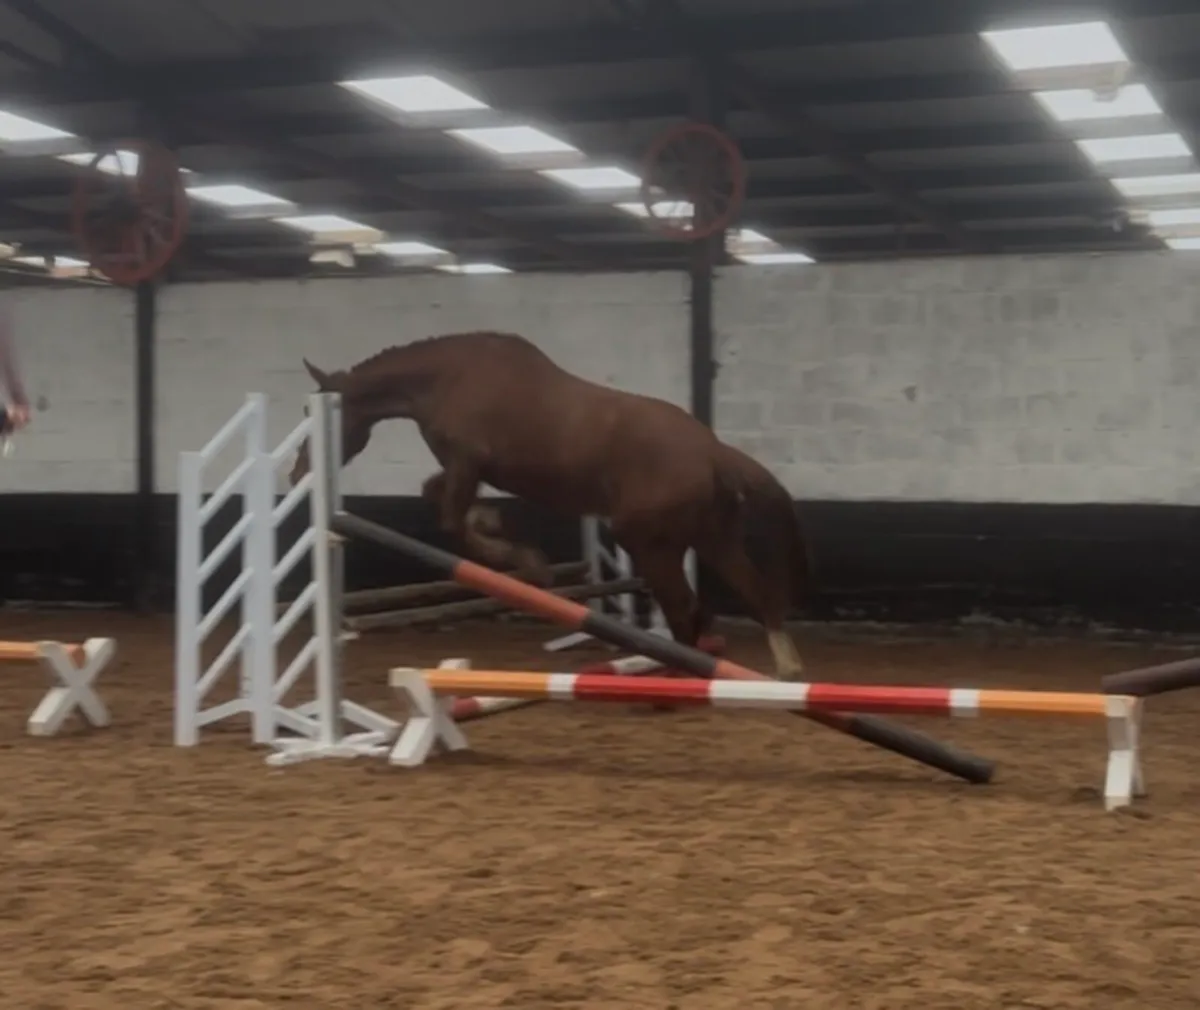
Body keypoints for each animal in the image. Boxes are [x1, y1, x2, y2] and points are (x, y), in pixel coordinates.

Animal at [289, 331, 810, 680]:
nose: (296, 475)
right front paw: (502, 532)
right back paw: (779, 667)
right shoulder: (466, 468)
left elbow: (452, 520)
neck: (447, 377)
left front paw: (529, 565)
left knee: (686, 611)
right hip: (712, 537)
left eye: (309, 413)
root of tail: (712, 450)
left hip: (649, 543)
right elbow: (442, 499)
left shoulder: (466, 461)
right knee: (751, 595)